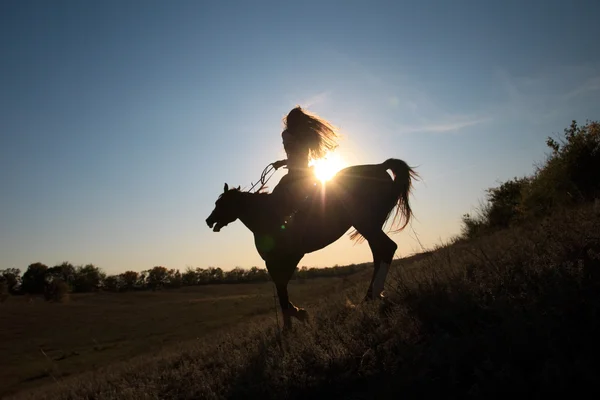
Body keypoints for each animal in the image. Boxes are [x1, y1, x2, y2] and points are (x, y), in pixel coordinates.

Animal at [205, 158, 418, 330]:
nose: (209, 220)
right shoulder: (278, 261)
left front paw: (293, 322)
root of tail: (379, 167)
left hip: (366, 223)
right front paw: (296, 317)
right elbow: (281, 289)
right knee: (378, 254)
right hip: (370, 226)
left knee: (387, 249)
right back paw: (371, 296)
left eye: (222, 204)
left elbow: (281, 289)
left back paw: (372, 295)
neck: (267, 214)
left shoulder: (286, 258)